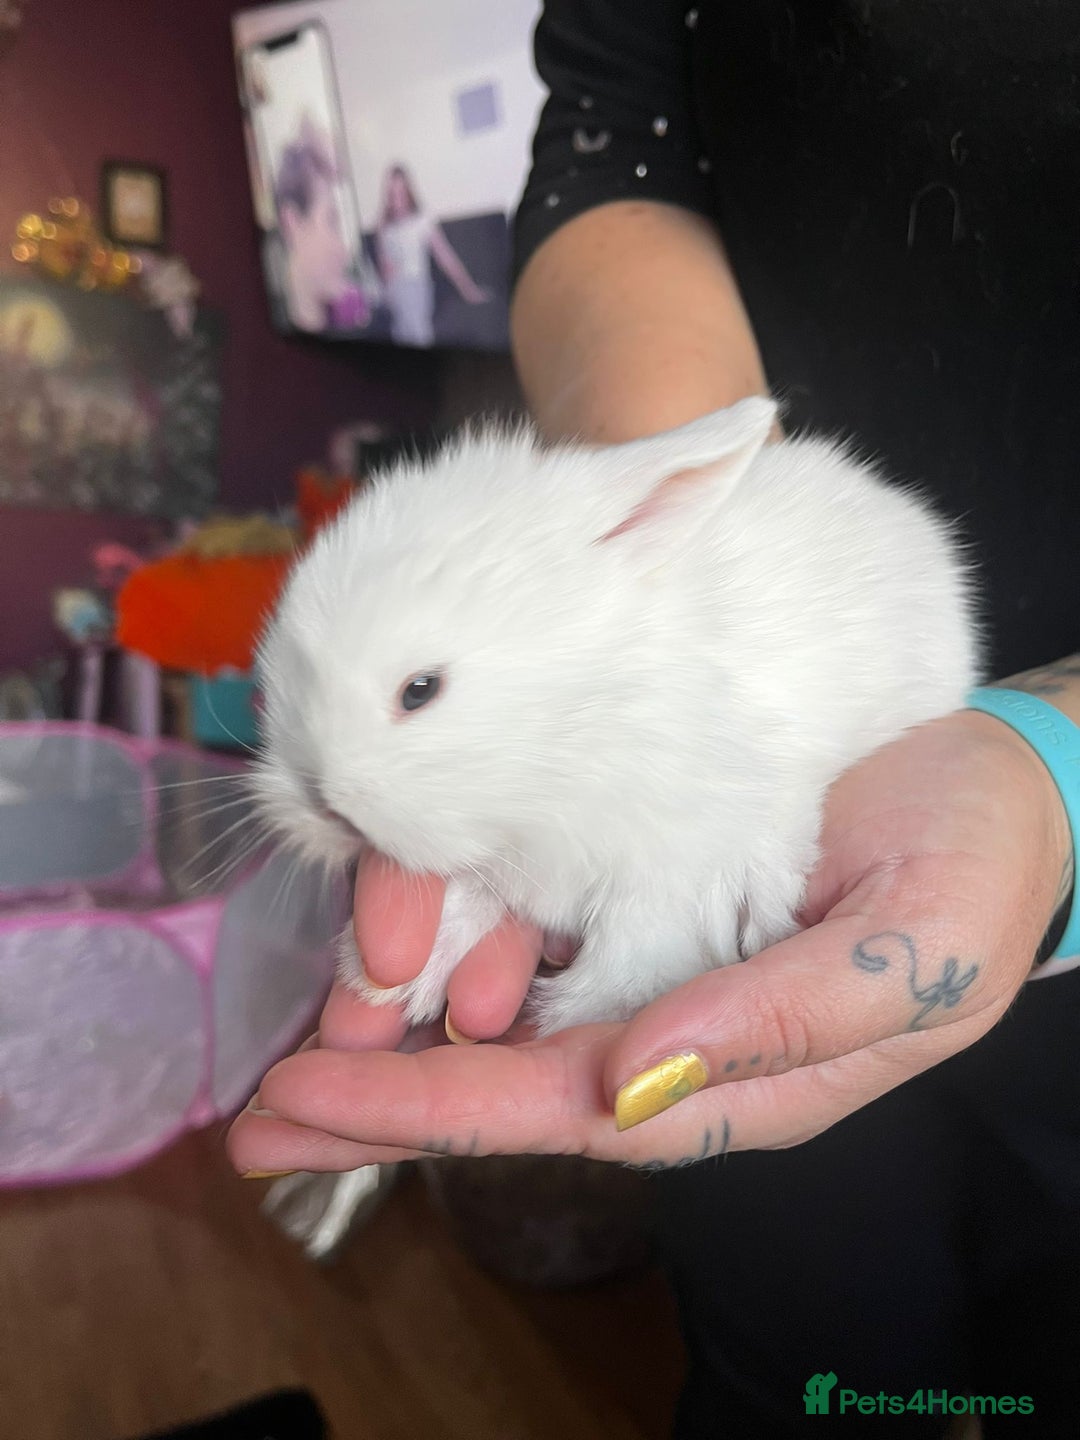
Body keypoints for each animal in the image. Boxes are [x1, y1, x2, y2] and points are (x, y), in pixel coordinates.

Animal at [252, 396, 979, 1037]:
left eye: (420, 690)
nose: (322, 804)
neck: (574, 724)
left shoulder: (664, 873)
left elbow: (632, 958)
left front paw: (580, 1016)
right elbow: (472, 900)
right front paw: (393, 980)